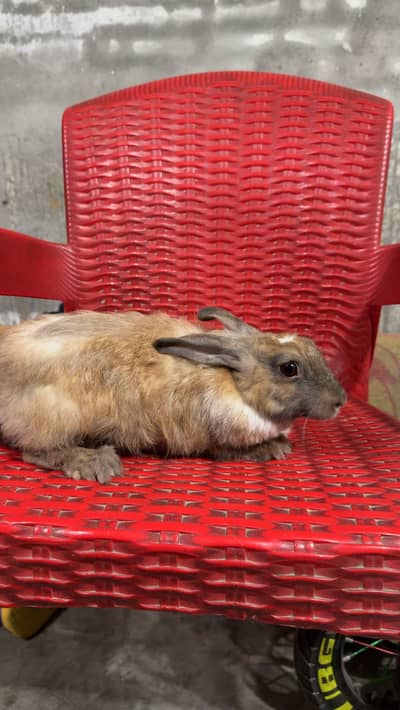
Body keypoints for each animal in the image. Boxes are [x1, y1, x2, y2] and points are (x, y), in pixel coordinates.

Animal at [0, 307, 346, 483]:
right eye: (289, 368)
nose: (340, 401)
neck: (233, 382)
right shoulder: (213, 438)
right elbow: (231, 452)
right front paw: (274, 448)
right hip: (55, 415)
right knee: (37, 451)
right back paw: (95, 462)